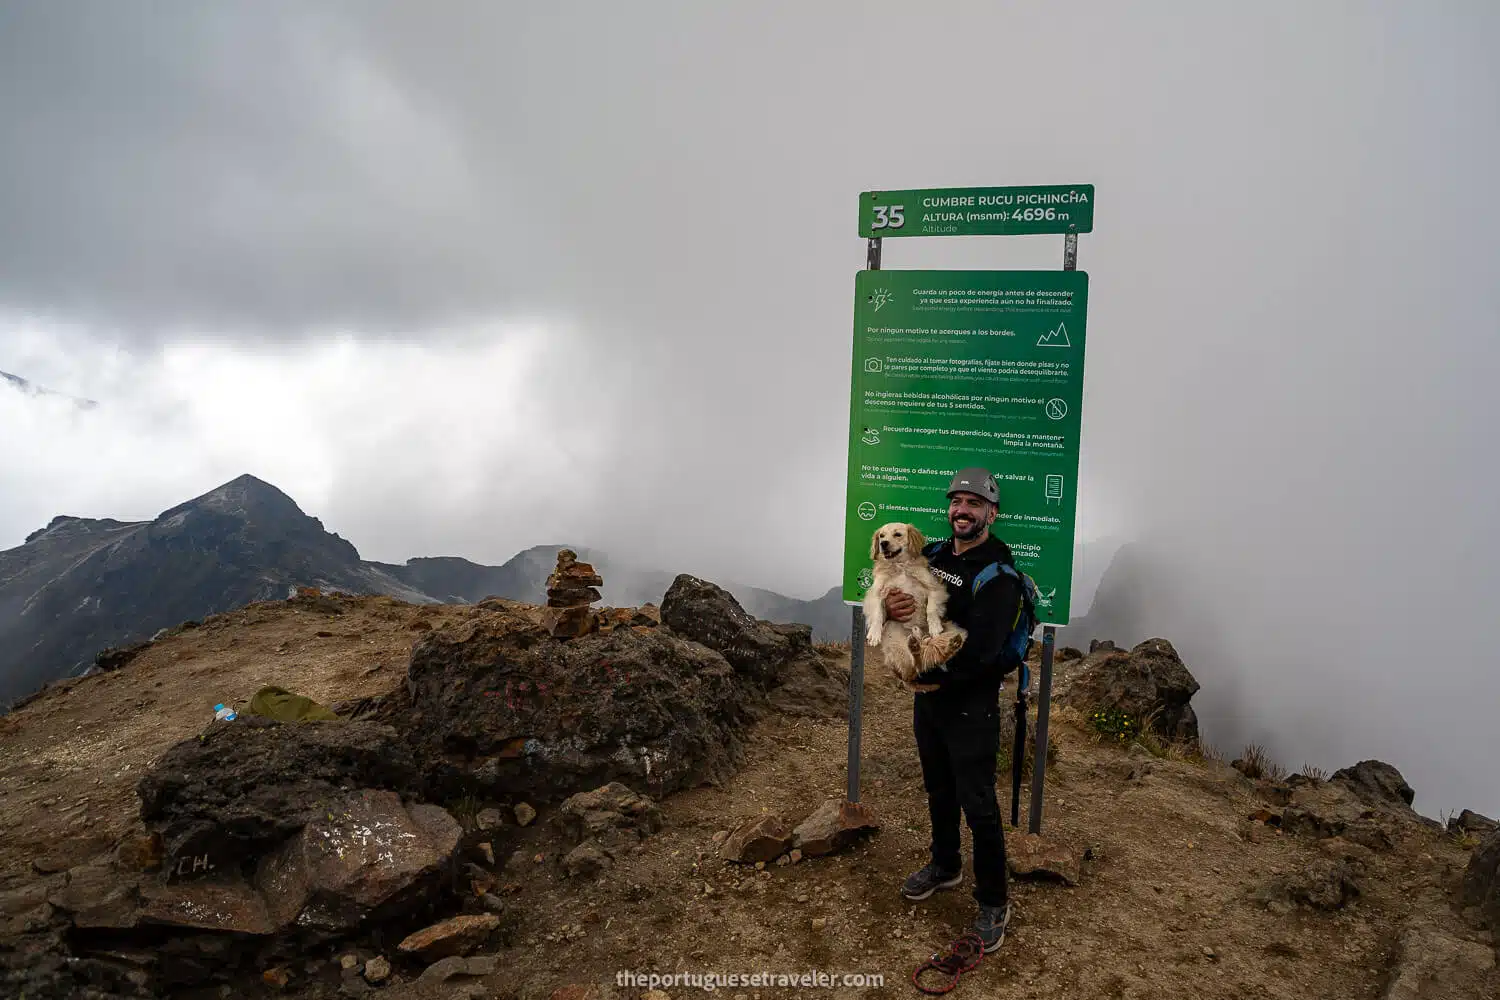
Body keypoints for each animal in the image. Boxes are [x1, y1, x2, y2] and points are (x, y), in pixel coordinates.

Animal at [864, 521, 966, 692]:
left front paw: (934, 626)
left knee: (930, 658)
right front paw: (874, 634)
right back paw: (915, 648)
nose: (883, 544)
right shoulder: (876, 593)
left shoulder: (934, 587)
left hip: (956, 631)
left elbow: (931, 608)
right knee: (913, 669)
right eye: (881, 536)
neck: (900, 566)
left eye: (897, 534)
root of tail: (920, 638)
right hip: (895, 643)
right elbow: (877, 612)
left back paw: (946, 645)